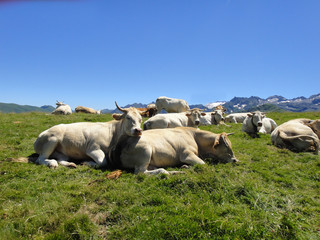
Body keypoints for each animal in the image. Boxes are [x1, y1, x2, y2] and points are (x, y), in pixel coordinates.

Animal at [109, 126, 239, 175]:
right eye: (226, 146)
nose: (235, 160)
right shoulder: (187, 155)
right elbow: (203, 164)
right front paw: (186, 166)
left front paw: (185, 167)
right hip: (145, 151)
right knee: (141, 172)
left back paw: (176, 172)